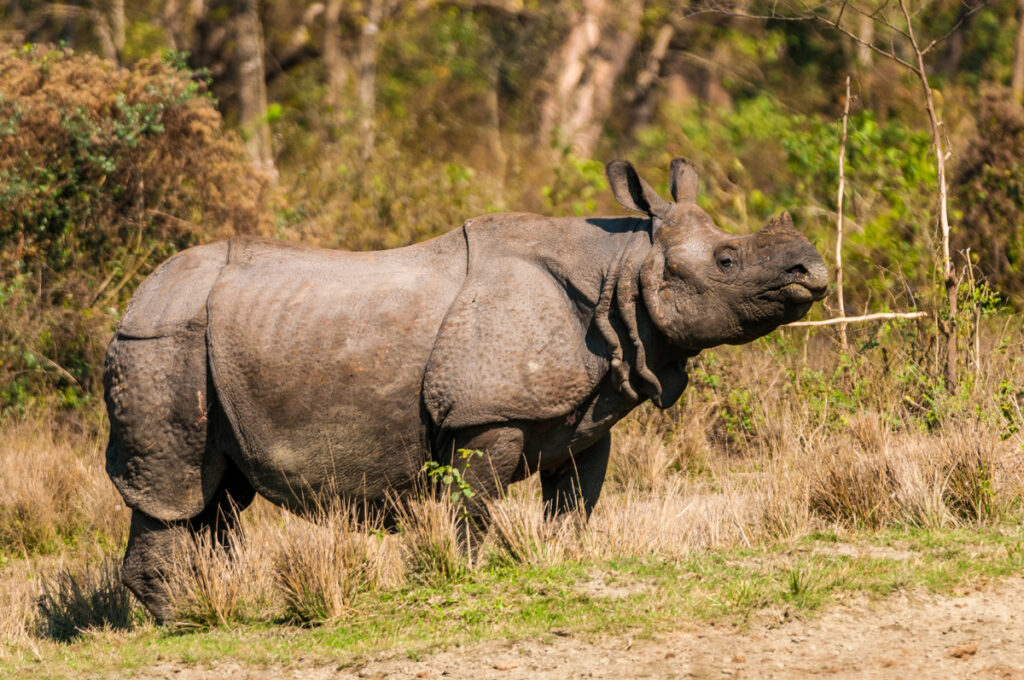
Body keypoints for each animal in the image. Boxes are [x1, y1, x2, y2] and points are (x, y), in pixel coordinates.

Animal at [104, 159, 827, 619]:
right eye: (727, 261)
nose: (813, 271)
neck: (622, 266)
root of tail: (132, 300)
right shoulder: (486, 414)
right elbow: (472, 508)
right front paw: (466, 577)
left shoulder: (588, 415)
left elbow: (574, 506)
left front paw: (559, 563)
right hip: (162, 343)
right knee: (175, 493)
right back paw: (190, 619)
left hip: (204, 347)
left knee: (218, 498)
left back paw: (225, 603)